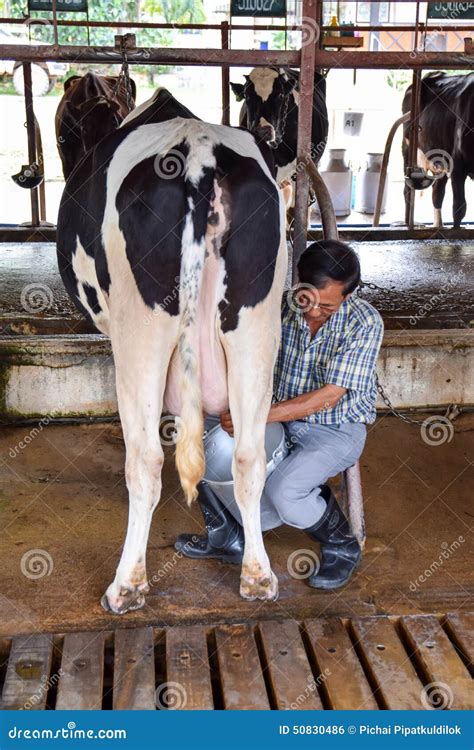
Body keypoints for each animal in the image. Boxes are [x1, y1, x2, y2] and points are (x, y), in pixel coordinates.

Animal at [55, 89, 286, 616]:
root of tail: (199, 156)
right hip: (257, 324)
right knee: (249, 455)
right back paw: (258, 576)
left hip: (141, 330)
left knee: (144, 462)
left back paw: (127, 585)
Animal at [404, 72, 474, 229]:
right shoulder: (458, 163)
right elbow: (459, 207)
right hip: (407, 146)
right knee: (408, 191)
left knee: (437, 191)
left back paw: (438, 225)